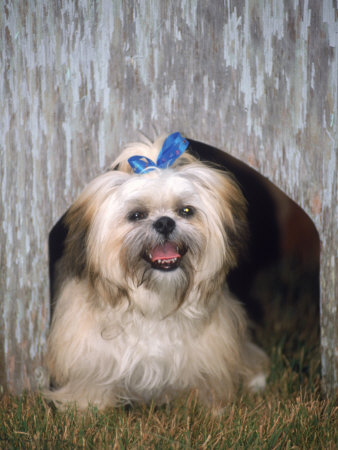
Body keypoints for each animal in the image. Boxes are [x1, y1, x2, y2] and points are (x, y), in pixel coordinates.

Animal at [45, 132, 268, 410]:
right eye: (136, 215)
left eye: (186, 210)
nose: (164, 222)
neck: (156, 303)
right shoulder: (89, 354)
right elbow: (91, 382)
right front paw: (86, 407)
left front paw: (212, 408)